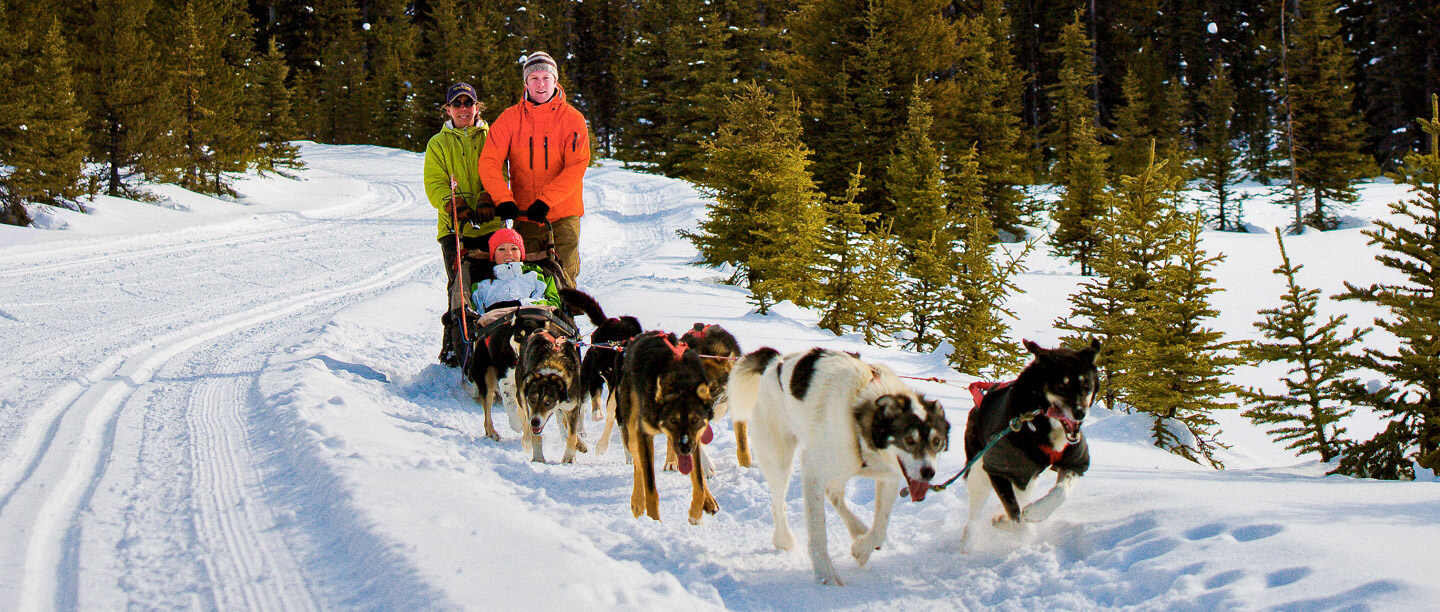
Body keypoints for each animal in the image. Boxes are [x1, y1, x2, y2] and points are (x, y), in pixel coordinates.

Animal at [616, 331, 717, 521]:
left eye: (695, 420)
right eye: (672, 420)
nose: (685, 448)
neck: (679, 382)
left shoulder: (694, 439)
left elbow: (699, 482)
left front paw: (696, 512)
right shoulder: (644, 434)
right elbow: (650, 487)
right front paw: (654, 521)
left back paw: (709, 499)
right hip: (632, 429)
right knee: (638, 466)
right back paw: (637, 502)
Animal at [725, 345, 950, 584]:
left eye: (937, 441)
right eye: (909, 439)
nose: (929, 472)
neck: (858, 414)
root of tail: (775, 362)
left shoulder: (888, 477)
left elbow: (880, 527)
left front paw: (862, 548)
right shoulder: (813, 472)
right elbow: (818, 534)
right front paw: (826, 574)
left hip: (842, 467)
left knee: (833, 493)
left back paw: (858, 529)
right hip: (780, 459)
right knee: (779, 503)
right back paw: (783, 538)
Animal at [961, 336, 1094, 550]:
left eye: (1087, 386)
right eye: (1060, 386)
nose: (1080, 413)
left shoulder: (1073, 462)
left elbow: (1061, 492)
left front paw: (1035, 512)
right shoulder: (997, 469)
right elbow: (1016, 517)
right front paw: (1016, 526)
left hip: (1026, 478)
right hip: (979, 472)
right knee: (974, 513)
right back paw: (968, 542)